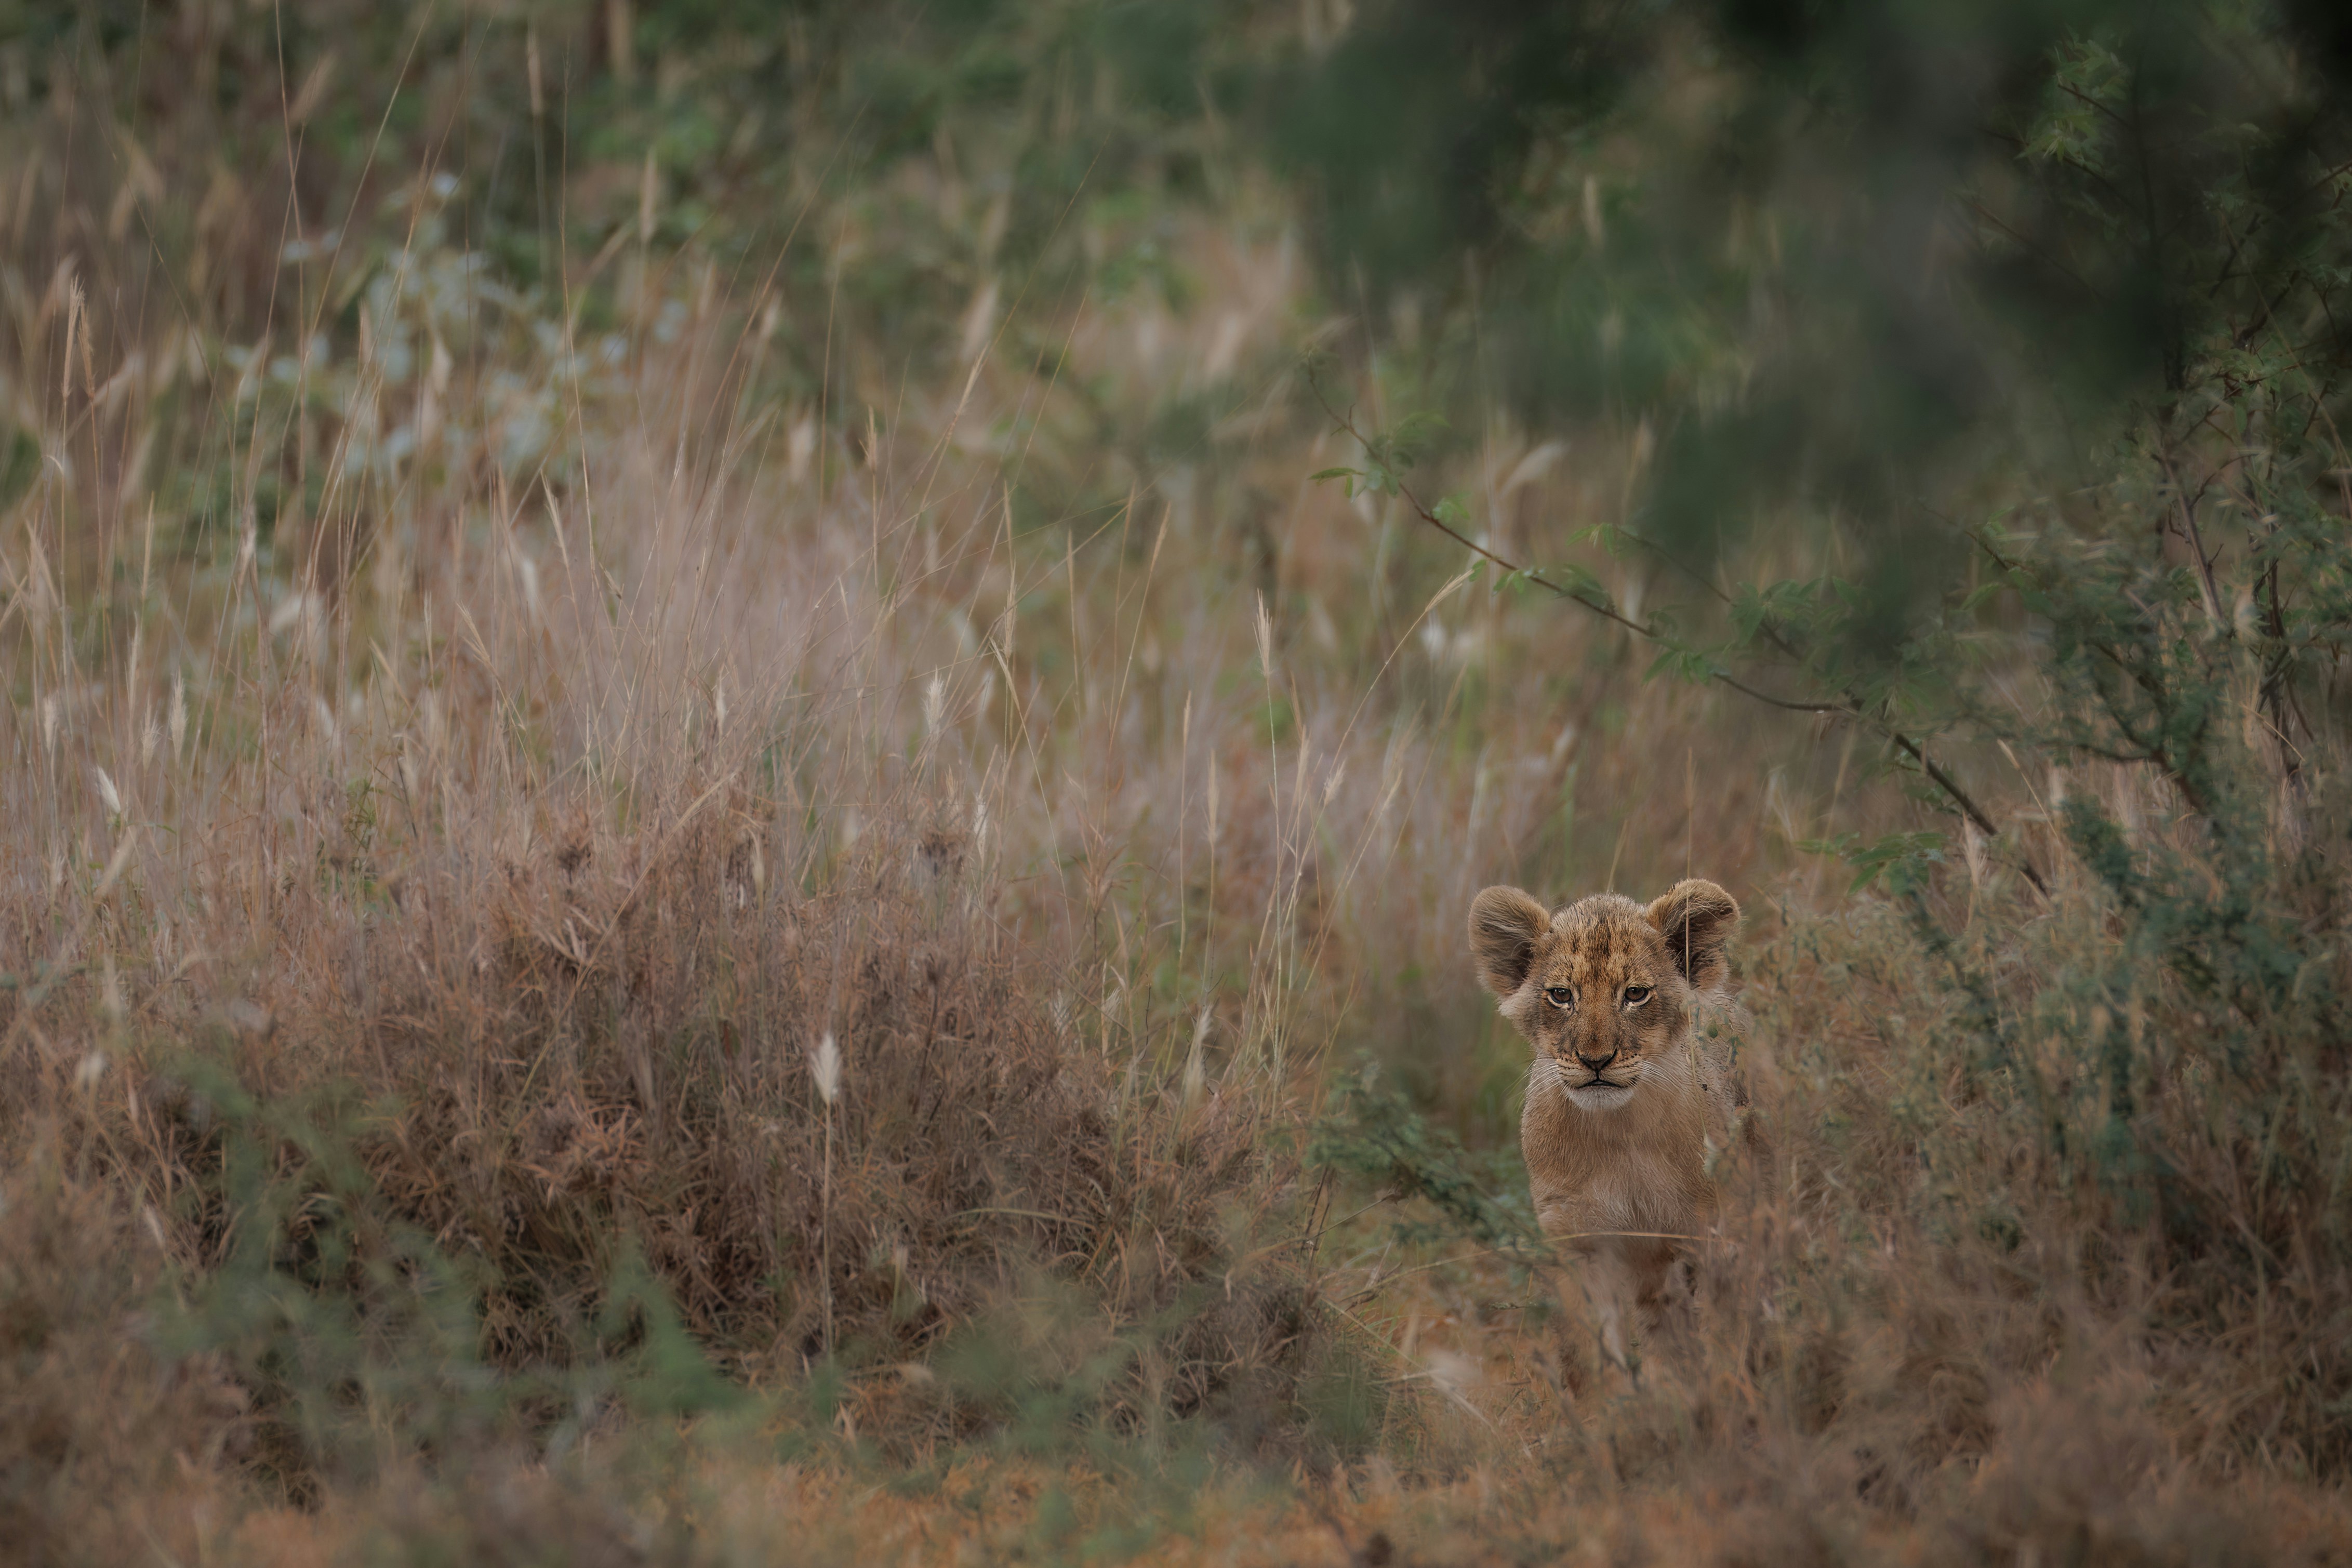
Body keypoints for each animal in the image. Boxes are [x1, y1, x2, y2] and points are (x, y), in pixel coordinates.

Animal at [1469, 878, 1751, 1372]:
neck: (1620, 1134)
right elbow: (1591, 1353)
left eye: (1635, 994)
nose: (1595, 1060)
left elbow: (1722, 1336)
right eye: (1561, 995)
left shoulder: (1712, 1232)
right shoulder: (1579, 1241)